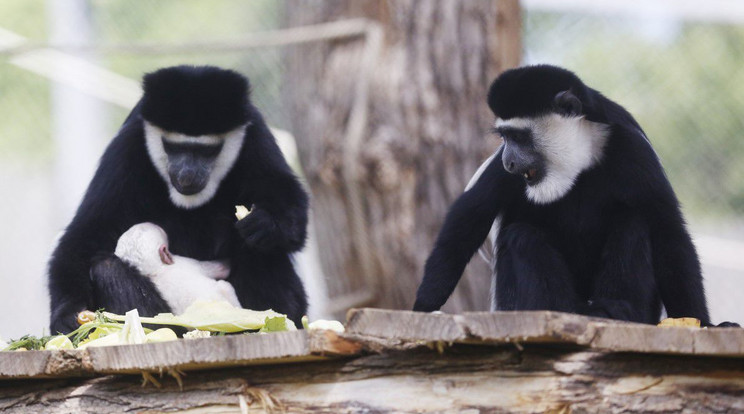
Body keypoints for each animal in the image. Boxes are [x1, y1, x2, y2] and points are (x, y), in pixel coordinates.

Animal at [48, 67, 308, 334]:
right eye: (172, 147)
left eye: (208, 151)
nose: (187, 174)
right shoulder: (128, 145)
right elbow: (86, 234)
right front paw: (68, 314)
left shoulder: (256, 137)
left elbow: (292, 212)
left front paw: (265, 222)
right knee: (106, 268)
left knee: (257, 246)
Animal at [416, 64, 736, 326]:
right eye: (504, 137)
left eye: (518, 136)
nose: (509, 161)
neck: (578, 160)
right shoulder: (499, 173)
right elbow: (467, 222)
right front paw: (423, 308)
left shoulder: (633, 149)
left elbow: (668, 232)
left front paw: (705, 324)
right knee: (522, 236)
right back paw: (567, 310)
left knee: (633, 221)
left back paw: (617, 310)